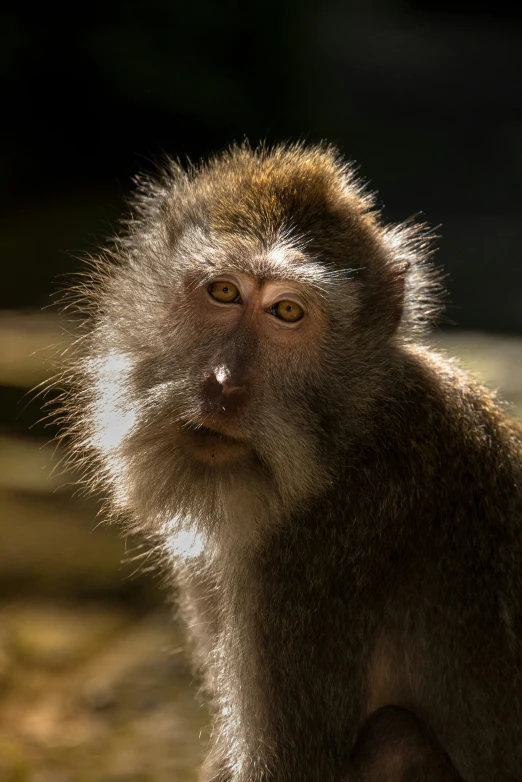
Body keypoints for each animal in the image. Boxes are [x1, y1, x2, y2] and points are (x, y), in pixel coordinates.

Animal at [57, 144, 520, 780]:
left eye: (288, 312)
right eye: (224, 293)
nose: (223, 386)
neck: (343, 439)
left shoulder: (317, 553)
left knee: (395, 738)